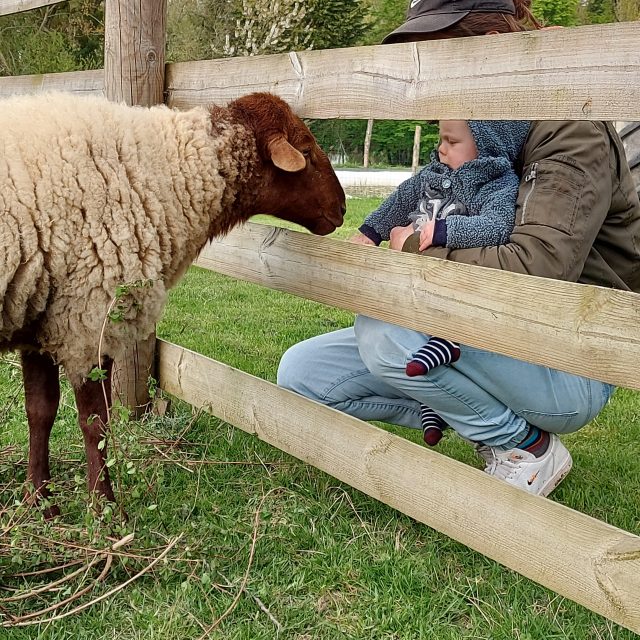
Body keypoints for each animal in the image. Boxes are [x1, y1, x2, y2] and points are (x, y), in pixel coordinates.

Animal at [0, 90, 344, 516]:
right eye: (307, 151)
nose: (343, 209)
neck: (166, 171)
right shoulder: (89, 316)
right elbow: (95, 422)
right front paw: (105, 508)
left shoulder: (43, 317)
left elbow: (40, 414)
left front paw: (41, 504)